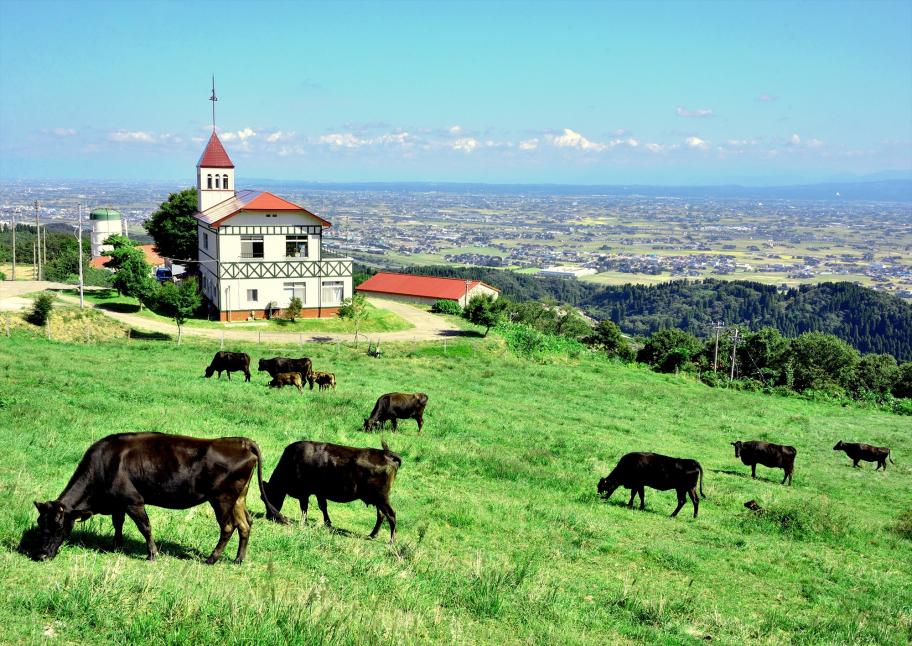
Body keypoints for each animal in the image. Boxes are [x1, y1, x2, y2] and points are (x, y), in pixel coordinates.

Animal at [32, 432, 286, 564]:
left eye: (59, 527)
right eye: (40, 524)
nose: (41, 555)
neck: (104, 465)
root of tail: (239, 441)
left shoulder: (133, 500)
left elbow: (145, 527)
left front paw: (152, 554)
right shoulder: (118, 503)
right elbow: (118, 524)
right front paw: (116, 546)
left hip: (222, 498)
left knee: (228, 526)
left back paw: (212, 558)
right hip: (238, 498)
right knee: (245, 524)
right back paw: (238, 559)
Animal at [262, 438, 400, 544]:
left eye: (266, 497)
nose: (269, 516)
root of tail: (386, 454)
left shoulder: (304, 492)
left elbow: (304, 508)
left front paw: (302, 523)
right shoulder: (319, 492)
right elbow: (323, 507)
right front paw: (328, 523)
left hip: (381, 497)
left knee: (391, 515)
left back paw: (391, 540)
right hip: (377, 499)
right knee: (381, 515)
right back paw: (372, 534)